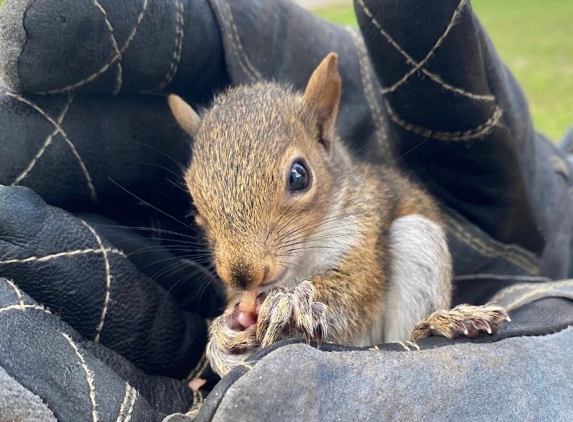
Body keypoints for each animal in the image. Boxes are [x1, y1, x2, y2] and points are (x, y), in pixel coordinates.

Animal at [168, 53, 508, 380]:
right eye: (194, 205)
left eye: (299, 176)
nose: (244, 275)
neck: (301, 259)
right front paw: (224, 330)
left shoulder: (364, 236)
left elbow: (355, 290)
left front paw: (291, 301)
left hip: (418, 238)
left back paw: (447, 321)